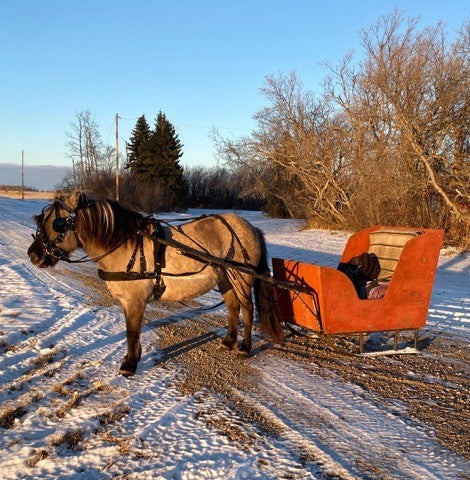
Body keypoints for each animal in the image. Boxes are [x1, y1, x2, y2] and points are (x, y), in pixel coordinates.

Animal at [27, 191, 284, 376]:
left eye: (58, 224)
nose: (33, 255)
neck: (124, 244)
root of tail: (249, 227)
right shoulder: (128, 301)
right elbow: (132, 331)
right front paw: (133, 357)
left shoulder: (135, 300)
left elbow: (131, 331)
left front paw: (129, 364)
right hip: (225, 279)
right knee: (232, 308)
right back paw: (229, 341)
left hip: (241, 279)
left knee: (247, 310)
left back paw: (245, 347)